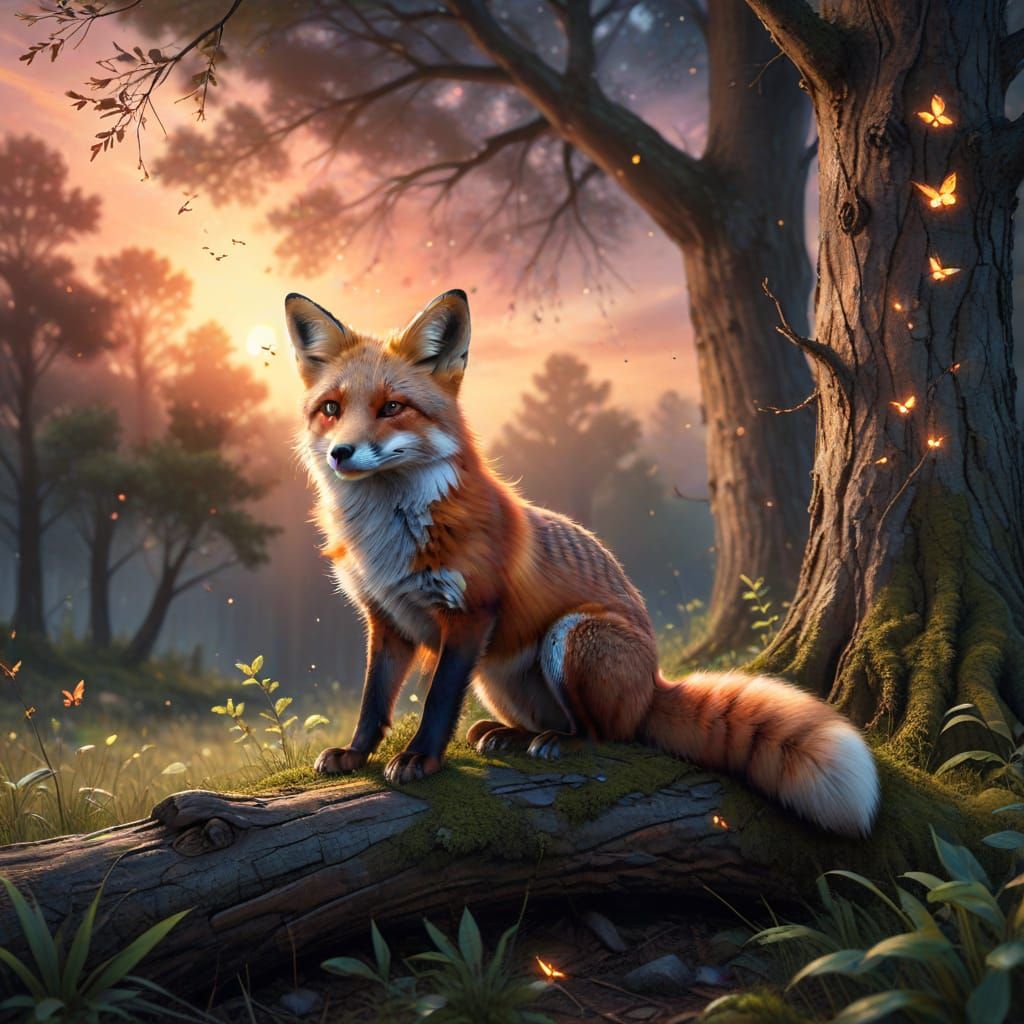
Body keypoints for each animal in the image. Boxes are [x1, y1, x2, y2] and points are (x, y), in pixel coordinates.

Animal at [285, 288, 880, 839]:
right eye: (332, 409)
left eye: (391, 408)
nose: (341, 453)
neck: (388, 537)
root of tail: (655, 686)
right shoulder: (386, 618)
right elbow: (372, 701)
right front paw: (354, 755)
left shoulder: (470, 612)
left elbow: (435, 703)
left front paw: (420, 760)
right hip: (495, 677)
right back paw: (510, 736)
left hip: (570, 636)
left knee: (607, 735)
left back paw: (557, 744)